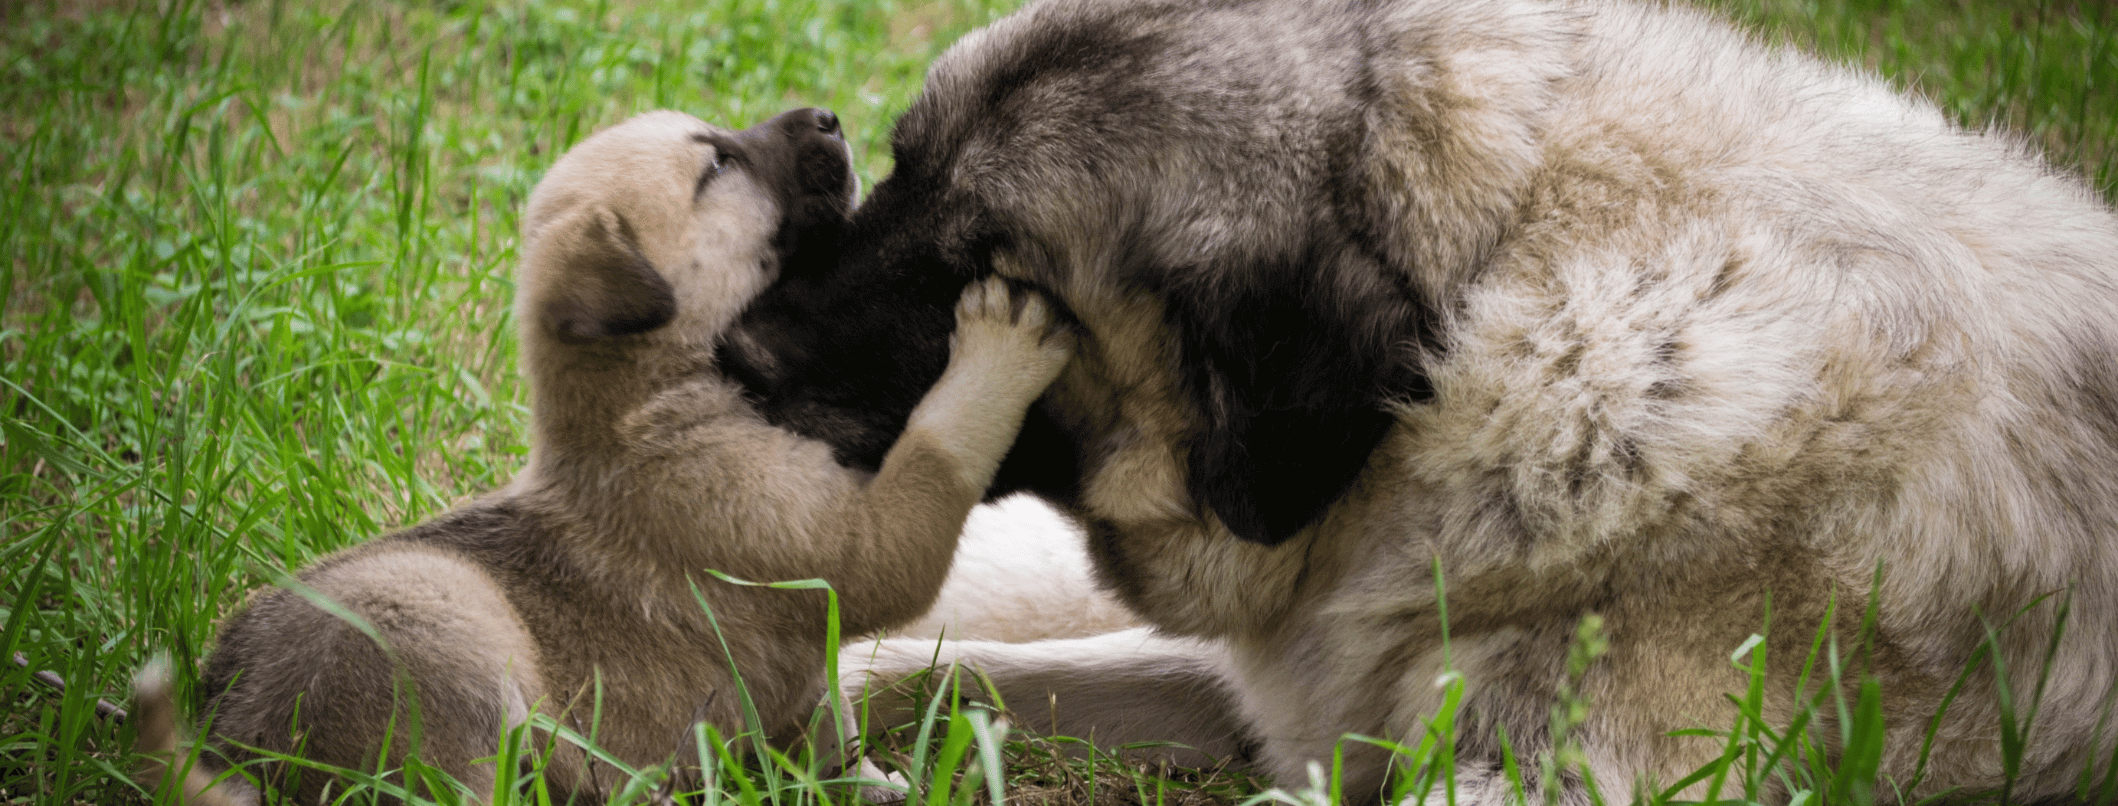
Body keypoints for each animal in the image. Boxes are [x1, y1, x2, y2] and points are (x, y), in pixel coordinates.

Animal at [132, 108, 1075, 803]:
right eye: (716, 167)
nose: (829, 118)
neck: (647, 404)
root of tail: (233, 728)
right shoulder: (844, 547)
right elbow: (939, 450)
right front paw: (1000, 346)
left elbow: (830, 728)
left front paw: (871, 781)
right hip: (443, 630)